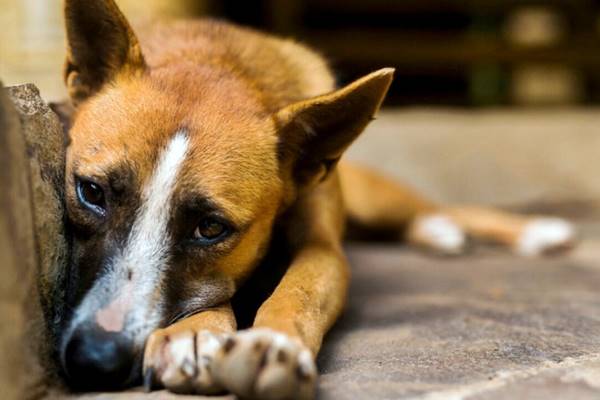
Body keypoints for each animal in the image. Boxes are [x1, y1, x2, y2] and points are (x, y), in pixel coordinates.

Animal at [57, 1, 576, 398]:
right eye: (91, 192)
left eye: (210, 228)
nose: (95, 359)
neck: (219, 62)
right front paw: (197, 333)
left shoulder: (324, 251)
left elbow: (300, 291)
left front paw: (272, 345)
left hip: (376, 198)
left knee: (445, 207)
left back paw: (524, 231)